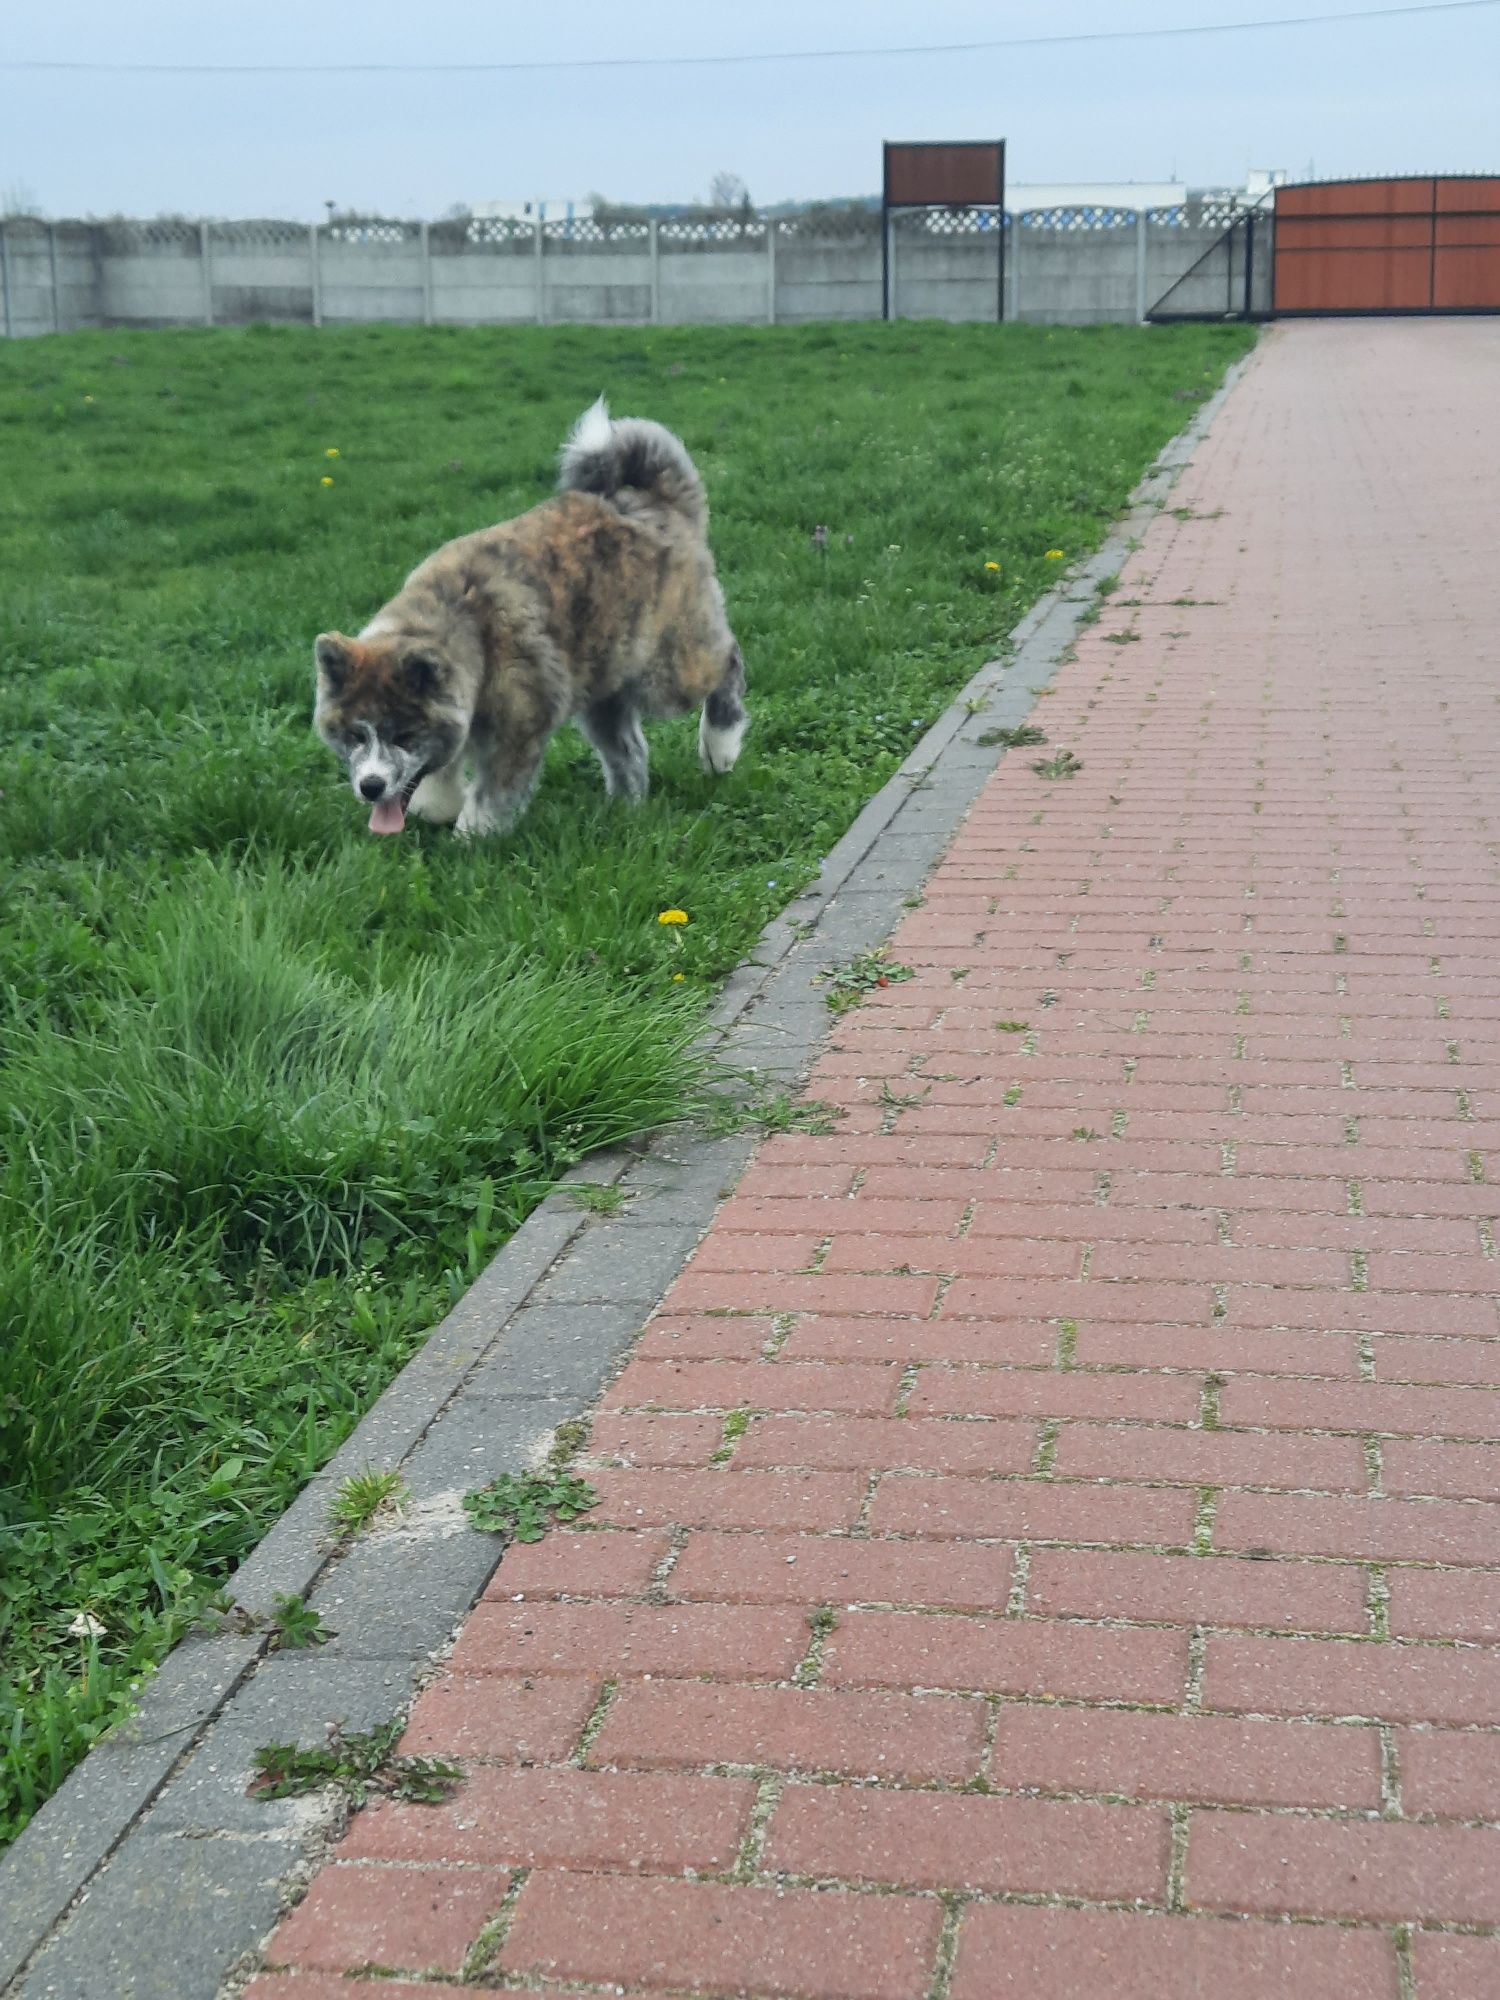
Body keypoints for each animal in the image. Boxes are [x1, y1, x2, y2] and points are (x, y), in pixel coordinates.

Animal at [312, 398, 752, 836]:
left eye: (404, 735)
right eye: (355, 734)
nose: (371, 786)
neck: (474, 633)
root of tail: (657, 504)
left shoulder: (518, 731)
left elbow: (492, 796)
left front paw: (472, 837)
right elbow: (439, 775)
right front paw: (437, 806)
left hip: (668, 672)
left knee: (727, 662)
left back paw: (720, 746)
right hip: (603, 686)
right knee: (628, 750)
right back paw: (623, 811)